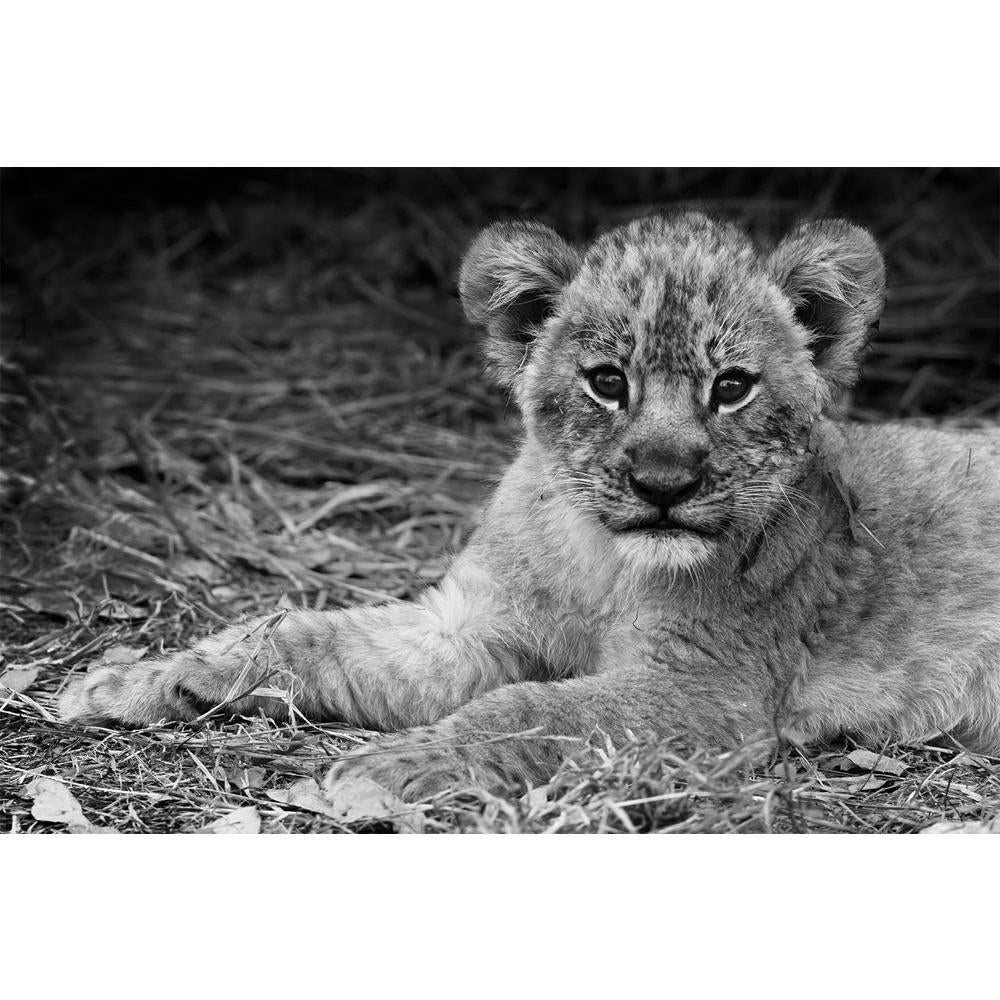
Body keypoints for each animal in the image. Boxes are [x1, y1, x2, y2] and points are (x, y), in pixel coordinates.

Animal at [59, 211, 1000, 801]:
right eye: (606, 382)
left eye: (732, 387)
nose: (664, 485)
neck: (602, 560)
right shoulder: (467, 626)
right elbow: (305, 634)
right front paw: (139, 679)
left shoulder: (706, 689)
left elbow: (527, 710)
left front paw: (394, 767)